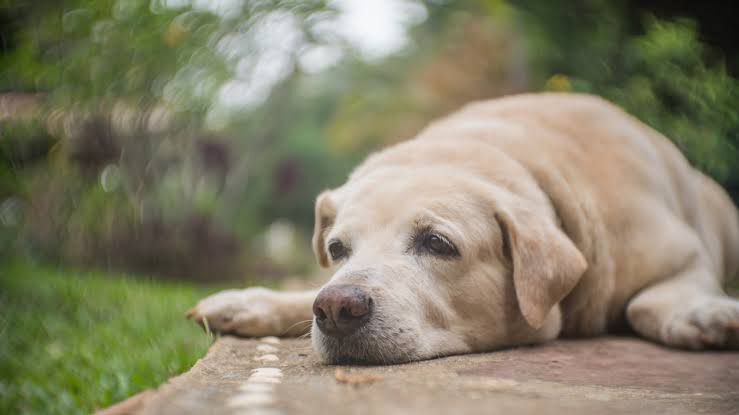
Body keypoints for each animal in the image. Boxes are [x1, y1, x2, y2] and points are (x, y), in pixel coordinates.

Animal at [186, 93, 739, 364]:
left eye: (437, 243)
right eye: (337, 248)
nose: (337, 309)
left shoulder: (686, 254)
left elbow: (649, 301)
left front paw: (705, 315)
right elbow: (305, 294)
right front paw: (251, 302)